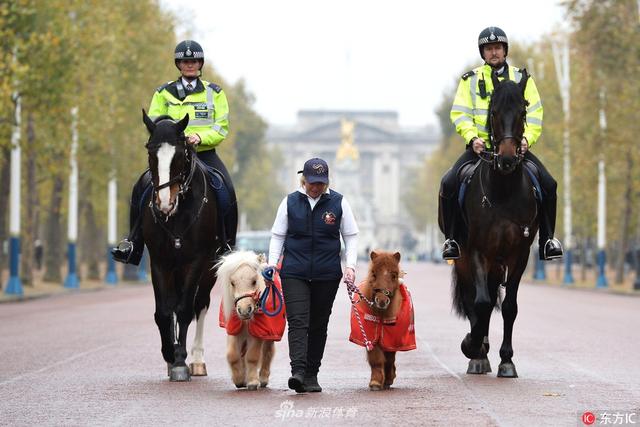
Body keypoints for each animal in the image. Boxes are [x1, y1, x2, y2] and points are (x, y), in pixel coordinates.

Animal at [216, 251, 276, 392]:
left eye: (254, 281)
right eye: (232, 283)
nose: (244, 310)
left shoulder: (258, 333)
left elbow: (252, 356)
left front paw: (253, 382)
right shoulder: (233, 330)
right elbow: (232, 355)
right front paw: (239, 379)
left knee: (267, 352)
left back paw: (263, 378)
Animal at [448, 76, 536, 378]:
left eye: (523, 111)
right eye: (494, 112)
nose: (507, 159)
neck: (503, 191)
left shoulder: (519, 254)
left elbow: (509, 306)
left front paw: (506, 360)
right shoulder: (476, 251)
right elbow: (481, 302)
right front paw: (472, 345)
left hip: (498, 262)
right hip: (465, 258)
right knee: (473, 299)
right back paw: (478, 351)